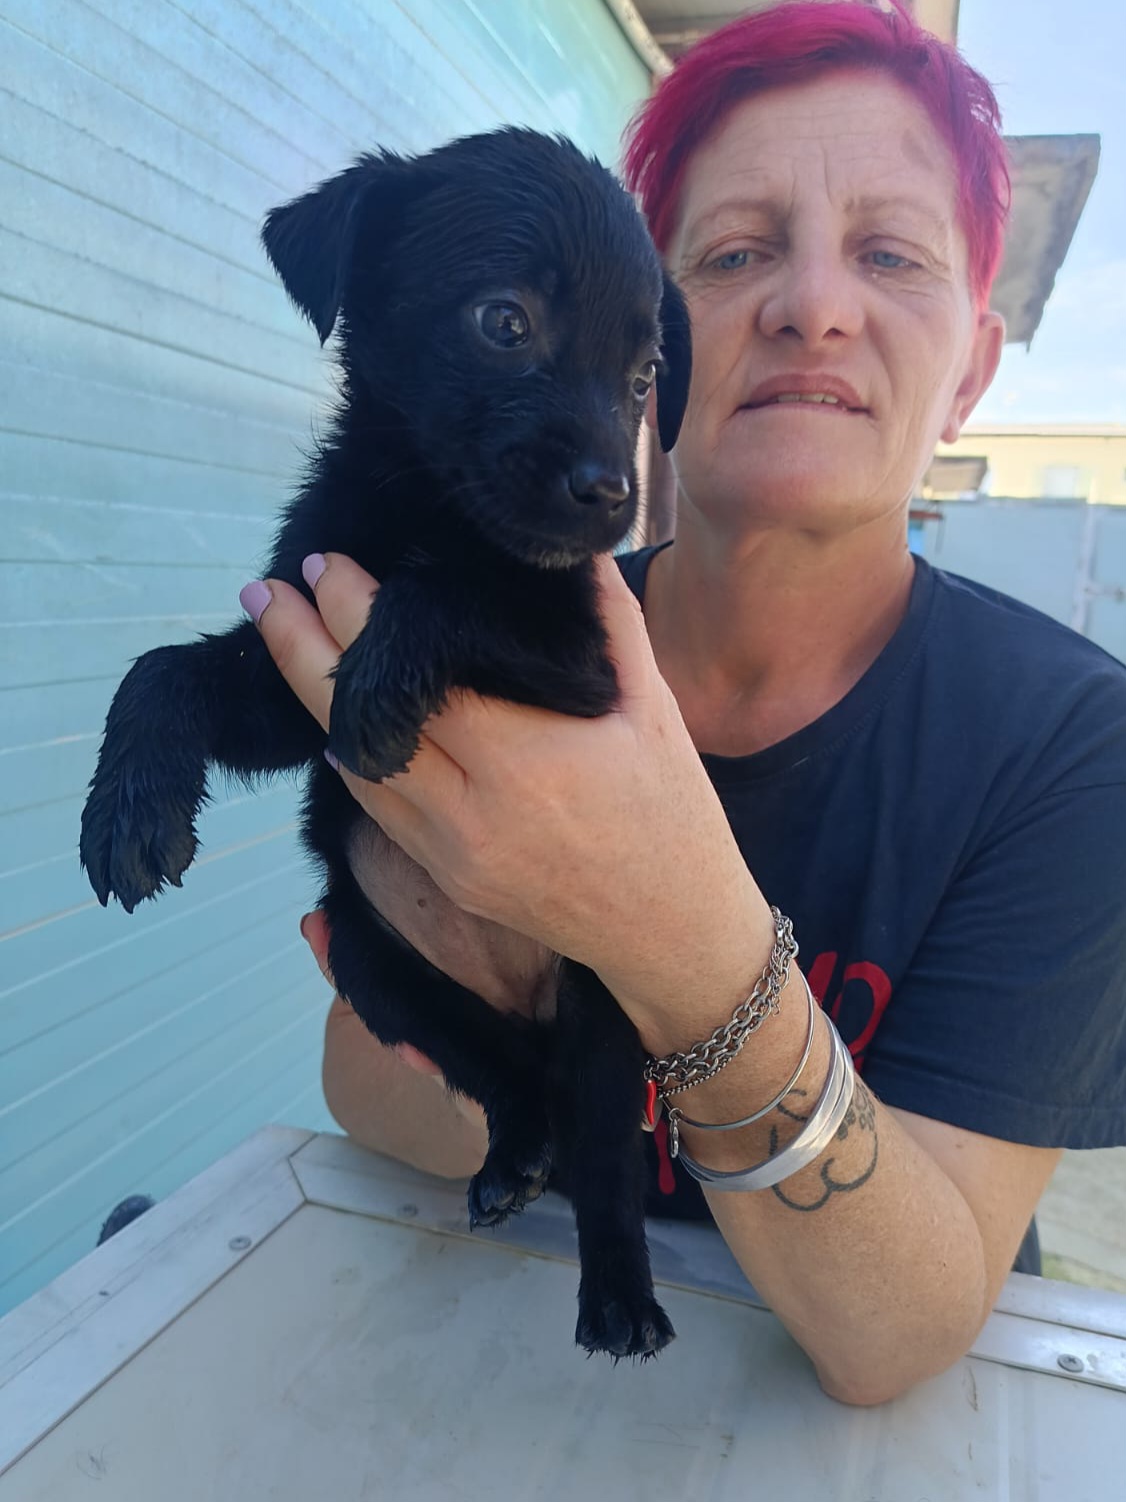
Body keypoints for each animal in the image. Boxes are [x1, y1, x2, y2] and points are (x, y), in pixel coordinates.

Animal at [80, 128, 691, 1358]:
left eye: (645, 376)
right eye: (504, 322)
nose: (612, 495)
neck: (422, 502)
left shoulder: (581, 663)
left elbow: (445, 594)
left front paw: (386, 674)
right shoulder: (288, 664)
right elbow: (163, 668)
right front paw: (130, 809)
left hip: (604, 1001)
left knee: (604, 1149)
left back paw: (619, 1296)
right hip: (376, 959)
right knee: (506, 1080)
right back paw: (511, 1159)